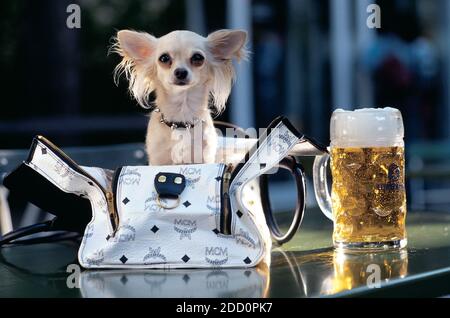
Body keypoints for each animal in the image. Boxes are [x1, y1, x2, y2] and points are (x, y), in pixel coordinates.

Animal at [111, 29, 248, 166]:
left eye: (198, 58)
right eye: (164, 58)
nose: (181, 72)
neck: (181, 120)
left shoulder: (203, 158)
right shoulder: (158, 160)